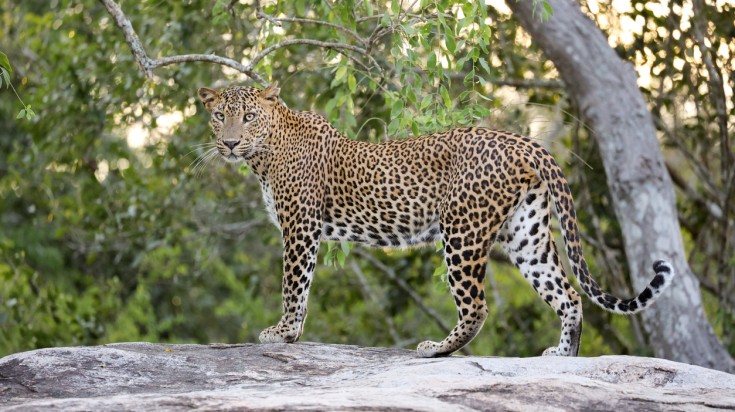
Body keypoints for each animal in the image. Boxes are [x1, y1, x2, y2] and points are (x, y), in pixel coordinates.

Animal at [197, 81, 680, 358]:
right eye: (220, 116)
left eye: (248, 116)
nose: (230, 143)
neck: (265, 152)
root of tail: (526, 143)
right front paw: (288, 335)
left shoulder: (300, 227)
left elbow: (294, 286)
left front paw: (282, 335)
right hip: (526, 234)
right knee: (568, 294)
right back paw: (562, 357)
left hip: (462, 232)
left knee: (477, 305)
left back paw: (436, 349)